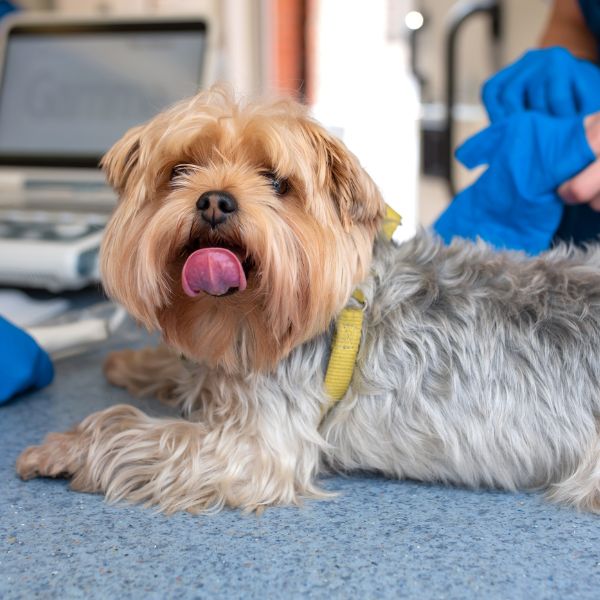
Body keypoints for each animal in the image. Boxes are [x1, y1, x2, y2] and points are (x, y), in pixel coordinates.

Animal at [14, 86, 600, 512]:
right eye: (179, 171)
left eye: (276, 181)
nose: (214, 200)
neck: (243, 318)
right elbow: (183, 370)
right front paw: (134, 362)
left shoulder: (254, 446)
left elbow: (132, 432)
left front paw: (63, 447)